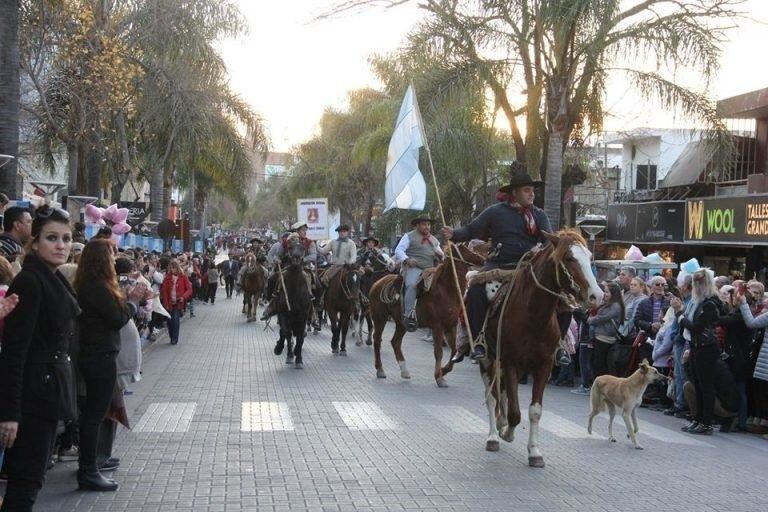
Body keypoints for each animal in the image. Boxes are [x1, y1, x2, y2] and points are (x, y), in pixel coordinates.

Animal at [368, 246, 484, 386]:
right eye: (468, 250)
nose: (483, 259)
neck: (446, 289)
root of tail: (377, 283)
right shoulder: (438, 327)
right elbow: (438, 352)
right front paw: (439, 377)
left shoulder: (451, 326)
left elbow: (455, 350)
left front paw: (443, 371)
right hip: (380, 318)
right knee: (377, 339)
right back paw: (380, 369)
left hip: (402, 324)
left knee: (395, 342)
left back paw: (404, 371)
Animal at [480, 230, 608, 466]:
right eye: (569, 258)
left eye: (589, 257)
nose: (597, 295)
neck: (533, 315)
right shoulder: (511, 363)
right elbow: (515, 412)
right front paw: (507, 433)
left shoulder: (544, 366)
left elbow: (534, 411)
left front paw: (534, 452)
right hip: (489, 359)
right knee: (492, 395)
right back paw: (494, 435)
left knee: (501, 393)